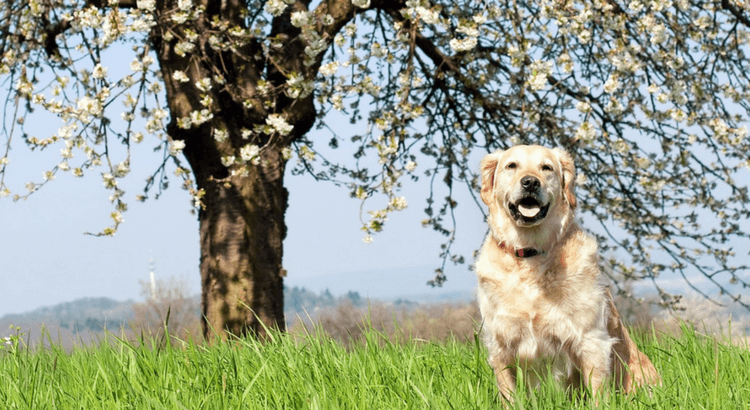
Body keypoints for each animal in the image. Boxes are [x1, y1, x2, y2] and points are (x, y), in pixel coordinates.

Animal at [478, 145, 660, 404]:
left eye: (546, 168)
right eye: (511, 166)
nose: (530, 182)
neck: (531, 254)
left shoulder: (591, 340)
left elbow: (598, 393)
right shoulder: (501, 345)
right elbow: (510, 397)